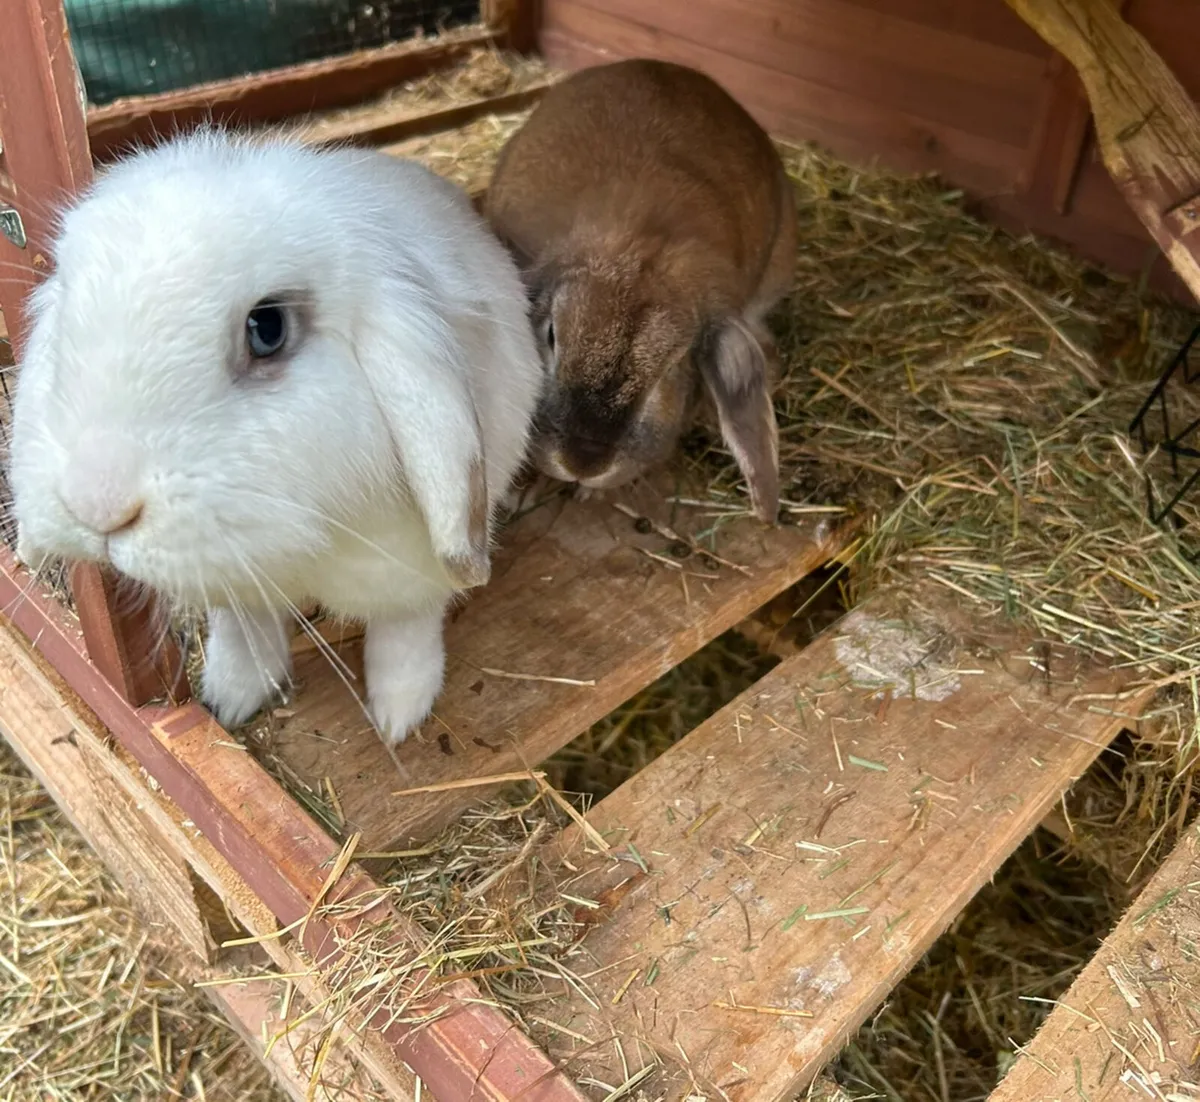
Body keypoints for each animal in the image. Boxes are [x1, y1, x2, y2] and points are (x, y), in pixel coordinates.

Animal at [8, 129, 544, 749]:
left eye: (268, 329)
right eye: (68, 320)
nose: (96, 505)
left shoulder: (412, 571)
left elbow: (405, 627)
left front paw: (398, 715)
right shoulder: (231, 582)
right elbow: (243, 628)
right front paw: (230, 696)